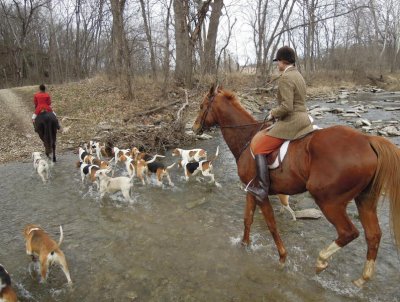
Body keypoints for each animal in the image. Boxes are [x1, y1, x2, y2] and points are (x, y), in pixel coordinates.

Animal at [192, 84, 400, 286]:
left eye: (202, 106)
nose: (194, 128)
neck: (247, 137)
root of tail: (367, 140)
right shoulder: (250, 191)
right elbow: (247, 219)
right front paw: (244, 245)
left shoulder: (261, 193)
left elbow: (271, 224)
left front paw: (282, 258)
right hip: (365, 199)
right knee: (373, 235)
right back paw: (362, 278)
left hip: (329, 201)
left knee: (348, 232)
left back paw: (321, 262)